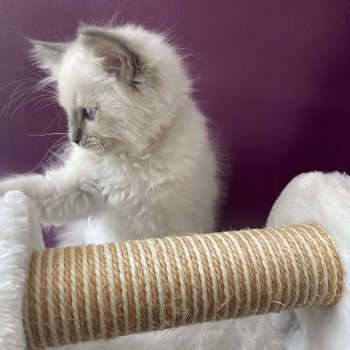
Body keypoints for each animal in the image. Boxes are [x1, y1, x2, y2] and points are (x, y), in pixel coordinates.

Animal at [0, 24, 219, 245]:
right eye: (68, 114)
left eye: (90, 113)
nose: (74, 139)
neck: (132, 160)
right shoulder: (80, 187)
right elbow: (27, 187)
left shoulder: (178, 223)